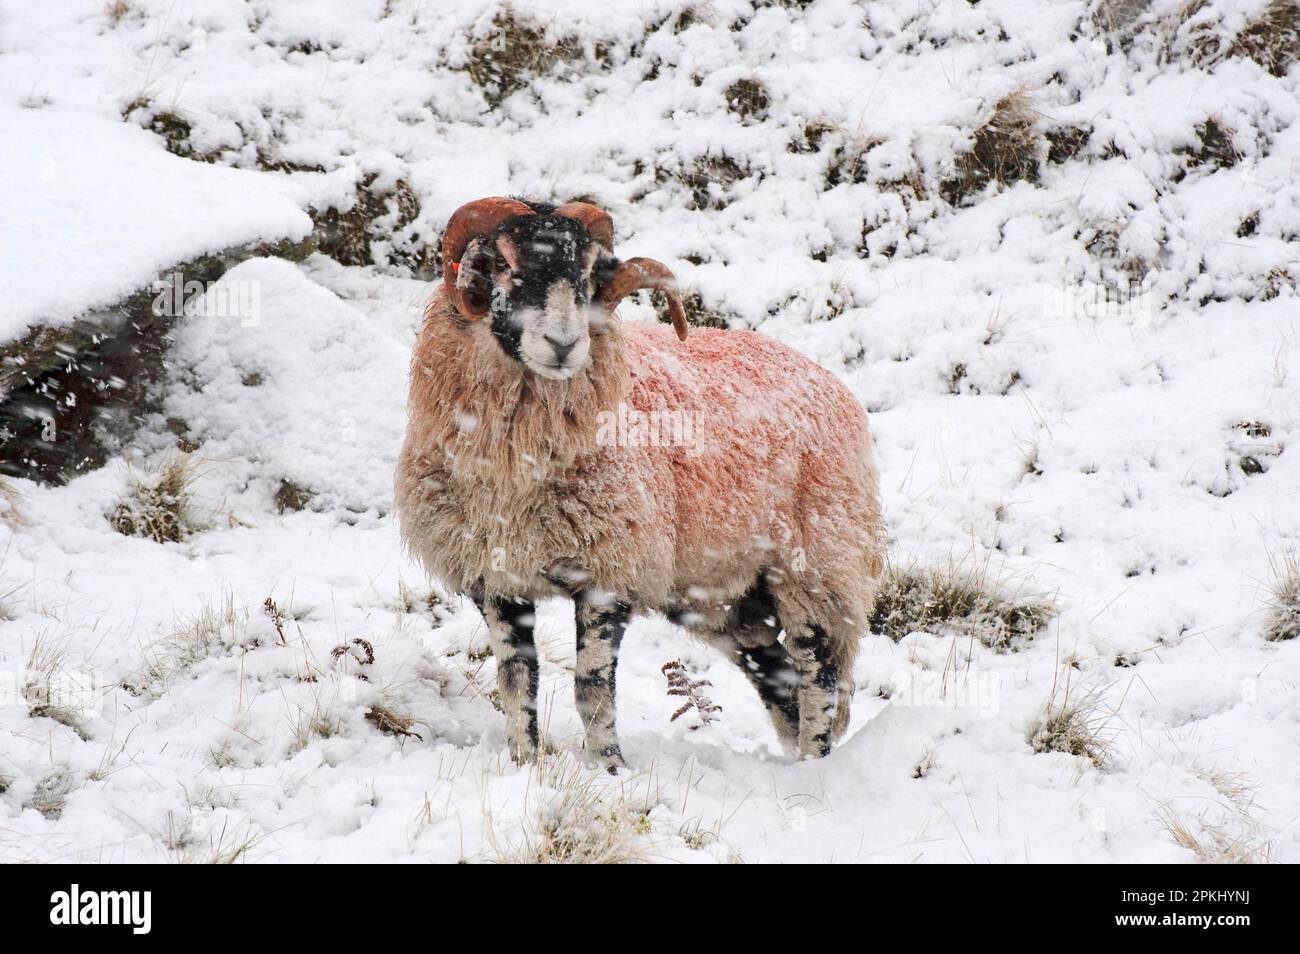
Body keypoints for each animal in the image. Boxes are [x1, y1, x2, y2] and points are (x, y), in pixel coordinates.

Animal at [395, 196, 886, 768]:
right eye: (501, 264)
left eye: (588, 272)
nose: (564, 344)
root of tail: (827, 379)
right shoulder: (496, 578)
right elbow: (517, 684)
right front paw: (525, 766)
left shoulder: (609, 571)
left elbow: (590, 686)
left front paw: (609, 768)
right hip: (724, 596)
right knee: (777, 674)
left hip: (815, 566)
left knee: (818, 674)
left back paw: (814, 764)